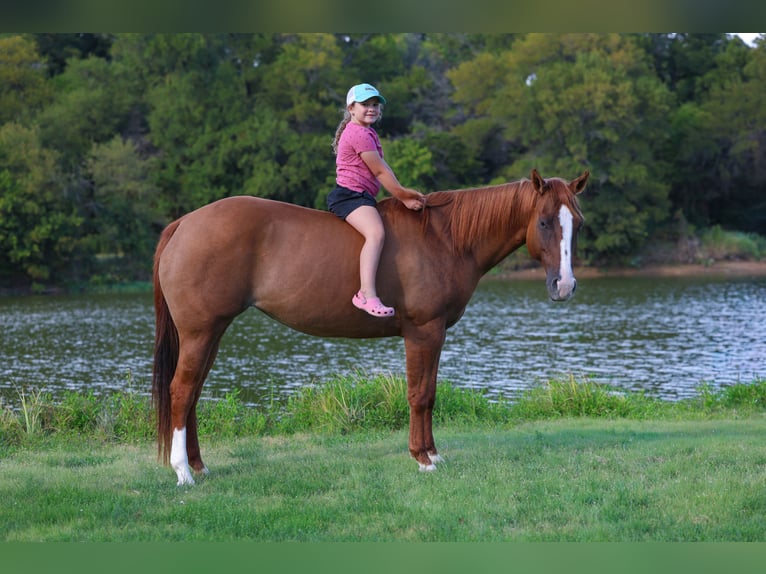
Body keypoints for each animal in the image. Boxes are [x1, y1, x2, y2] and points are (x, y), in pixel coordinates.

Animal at [152, 168, 589, 485]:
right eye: (544, 222)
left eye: (578, 223)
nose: (565, 285)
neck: (446, 238)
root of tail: (184, 223)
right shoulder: (424, 332)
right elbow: (419, 395)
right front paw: (422, 458)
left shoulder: (436, 334)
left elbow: (429, 394)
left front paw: (433, 453)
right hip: (200, 332)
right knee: (181, 391)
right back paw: (184, 473)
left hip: (211, 333)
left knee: (191, 394)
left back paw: (199, 465)